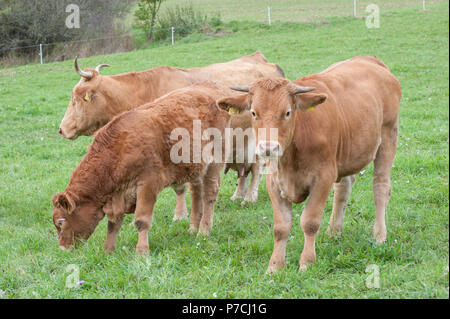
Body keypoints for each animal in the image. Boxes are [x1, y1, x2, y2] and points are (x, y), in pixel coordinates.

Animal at [52, 82, 232, 255]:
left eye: (61, 222)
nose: (62, 248)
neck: (118, 150)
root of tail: (211, 90)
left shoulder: (148, 185)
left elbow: (141, 220)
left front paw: (142, 251)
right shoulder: (119, 196)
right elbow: (113, 224)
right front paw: (107, 251)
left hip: (216, 160)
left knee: (209, 194)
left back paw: (203, 231)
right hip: (196, 167)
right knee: (196, 193)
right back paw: (193, 228)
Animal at [59, 52, 284, 220]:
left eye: (74, 98)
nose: (61, 129)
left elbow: (180, 188)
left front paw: (180, 214)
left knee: (257, 168)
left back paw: (250, 197)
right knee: (244, 171)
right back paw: (238, 195)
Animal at [218, 55, 400, 272]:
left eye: (287, 112)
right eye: (253, 112)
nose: (268, 147)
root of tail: (369, 59)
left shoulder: (323, 178)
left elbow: (310, 222)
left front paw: (306, 262)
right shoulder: (274, 182)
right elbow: (281, 227)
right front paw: (275, 266)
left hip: (388, 137)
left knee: (380, 188)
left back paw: (379, 235)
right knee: (343, 191)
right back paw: (334, 231)